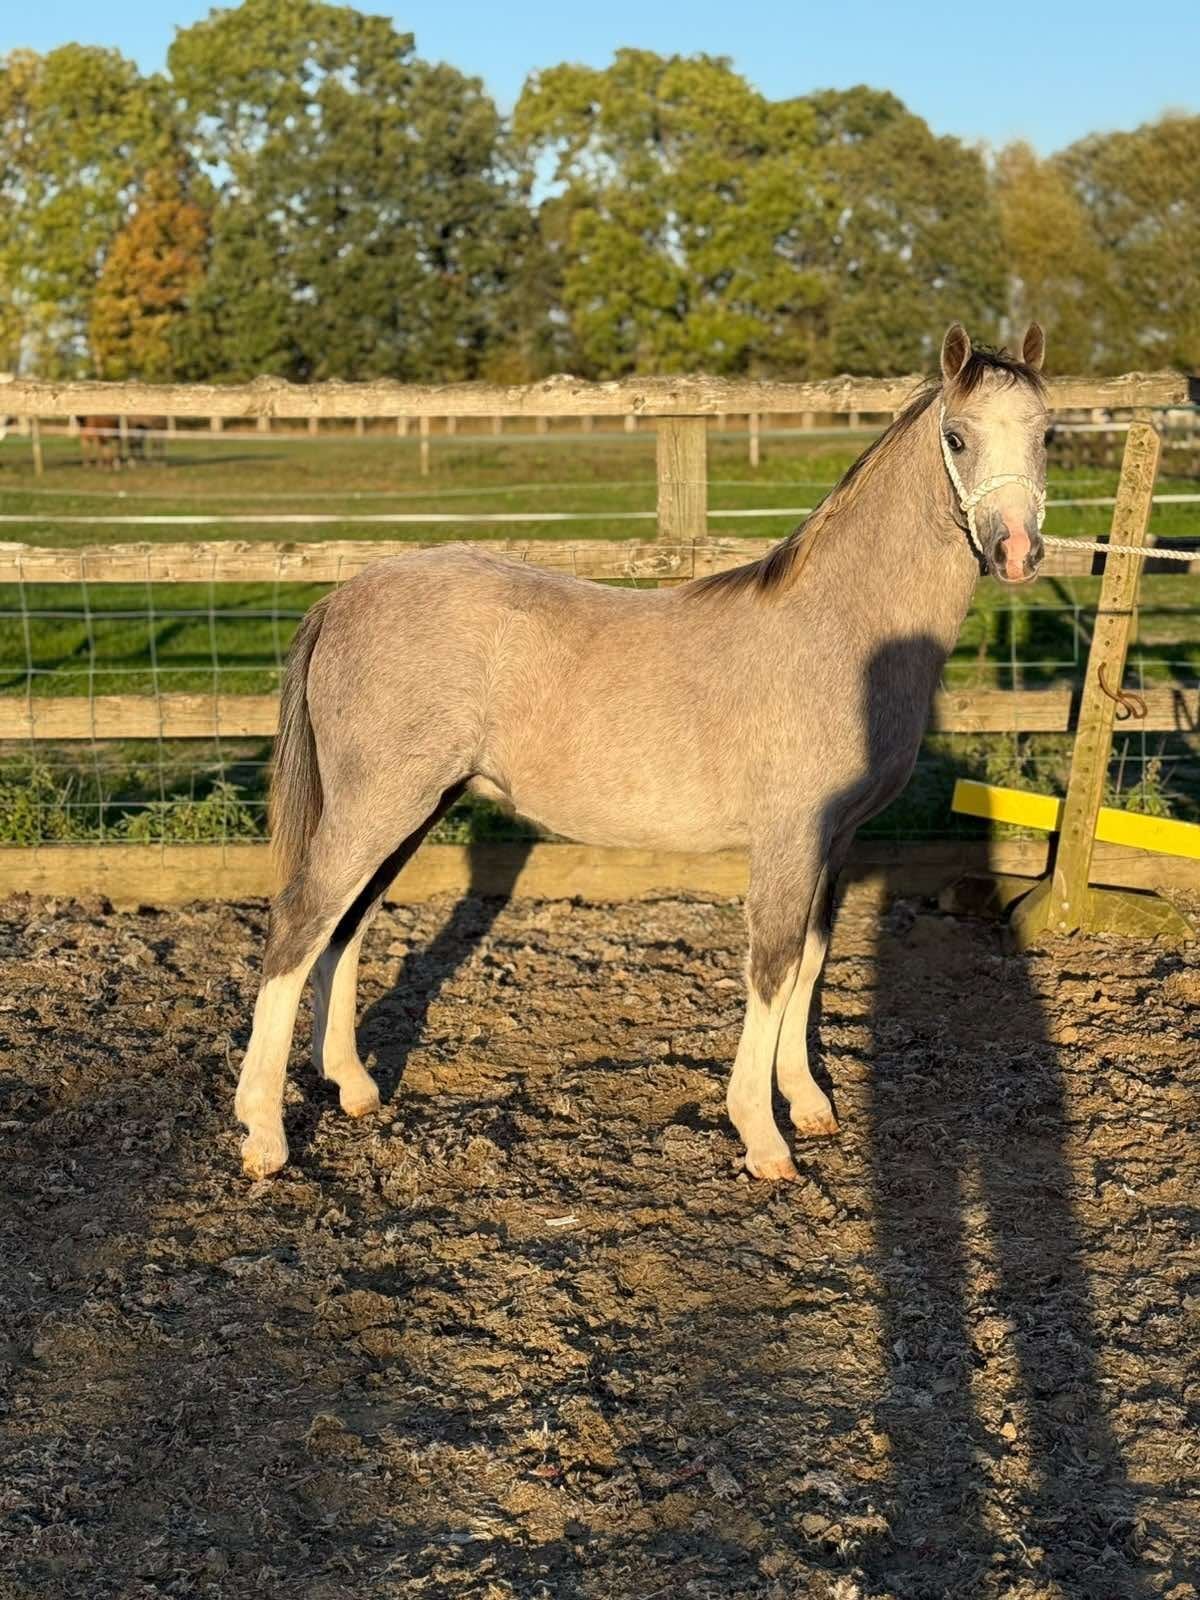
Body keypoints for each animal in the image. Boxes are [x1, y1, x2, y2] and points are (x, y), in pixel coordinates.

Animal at [235, 323, 1050, 1181]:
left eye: (1046, 434)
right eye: (957, 437)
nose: (1018, 551)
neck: (843, 629)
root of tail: (343, 595)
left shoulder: (837, 839)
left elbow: (810, 959)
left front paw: (809, 1106)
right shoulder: (790, 836)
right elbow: (773, 965)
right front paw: (764, 1138)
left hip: (414, 808)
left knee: (345, 925)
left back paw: (353, 1087)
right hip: (379, 805)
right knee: (300, 921)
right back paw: (264, 1134)